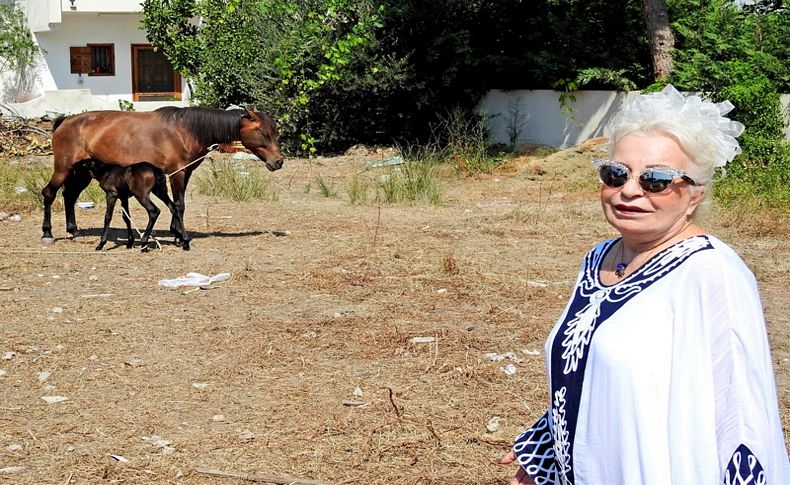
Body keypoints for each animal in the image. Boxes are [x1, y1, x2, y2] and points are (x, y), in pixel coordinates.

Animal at [42, 106, 284, 250]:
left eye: (275, 131)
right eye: (263, 132)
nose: (279, 161)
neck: (185, 130)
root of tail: (64, 121)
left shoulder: (185, 173)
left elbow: (177, 204)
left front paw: (176, 233)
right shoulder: (177, 173)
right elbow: (179, 205)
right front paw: (180, 237)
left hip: (82, 172)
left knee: (70, 196)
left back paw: (74, 231)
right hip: (64, 168)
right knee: (50, 193)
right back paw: (47, 233)